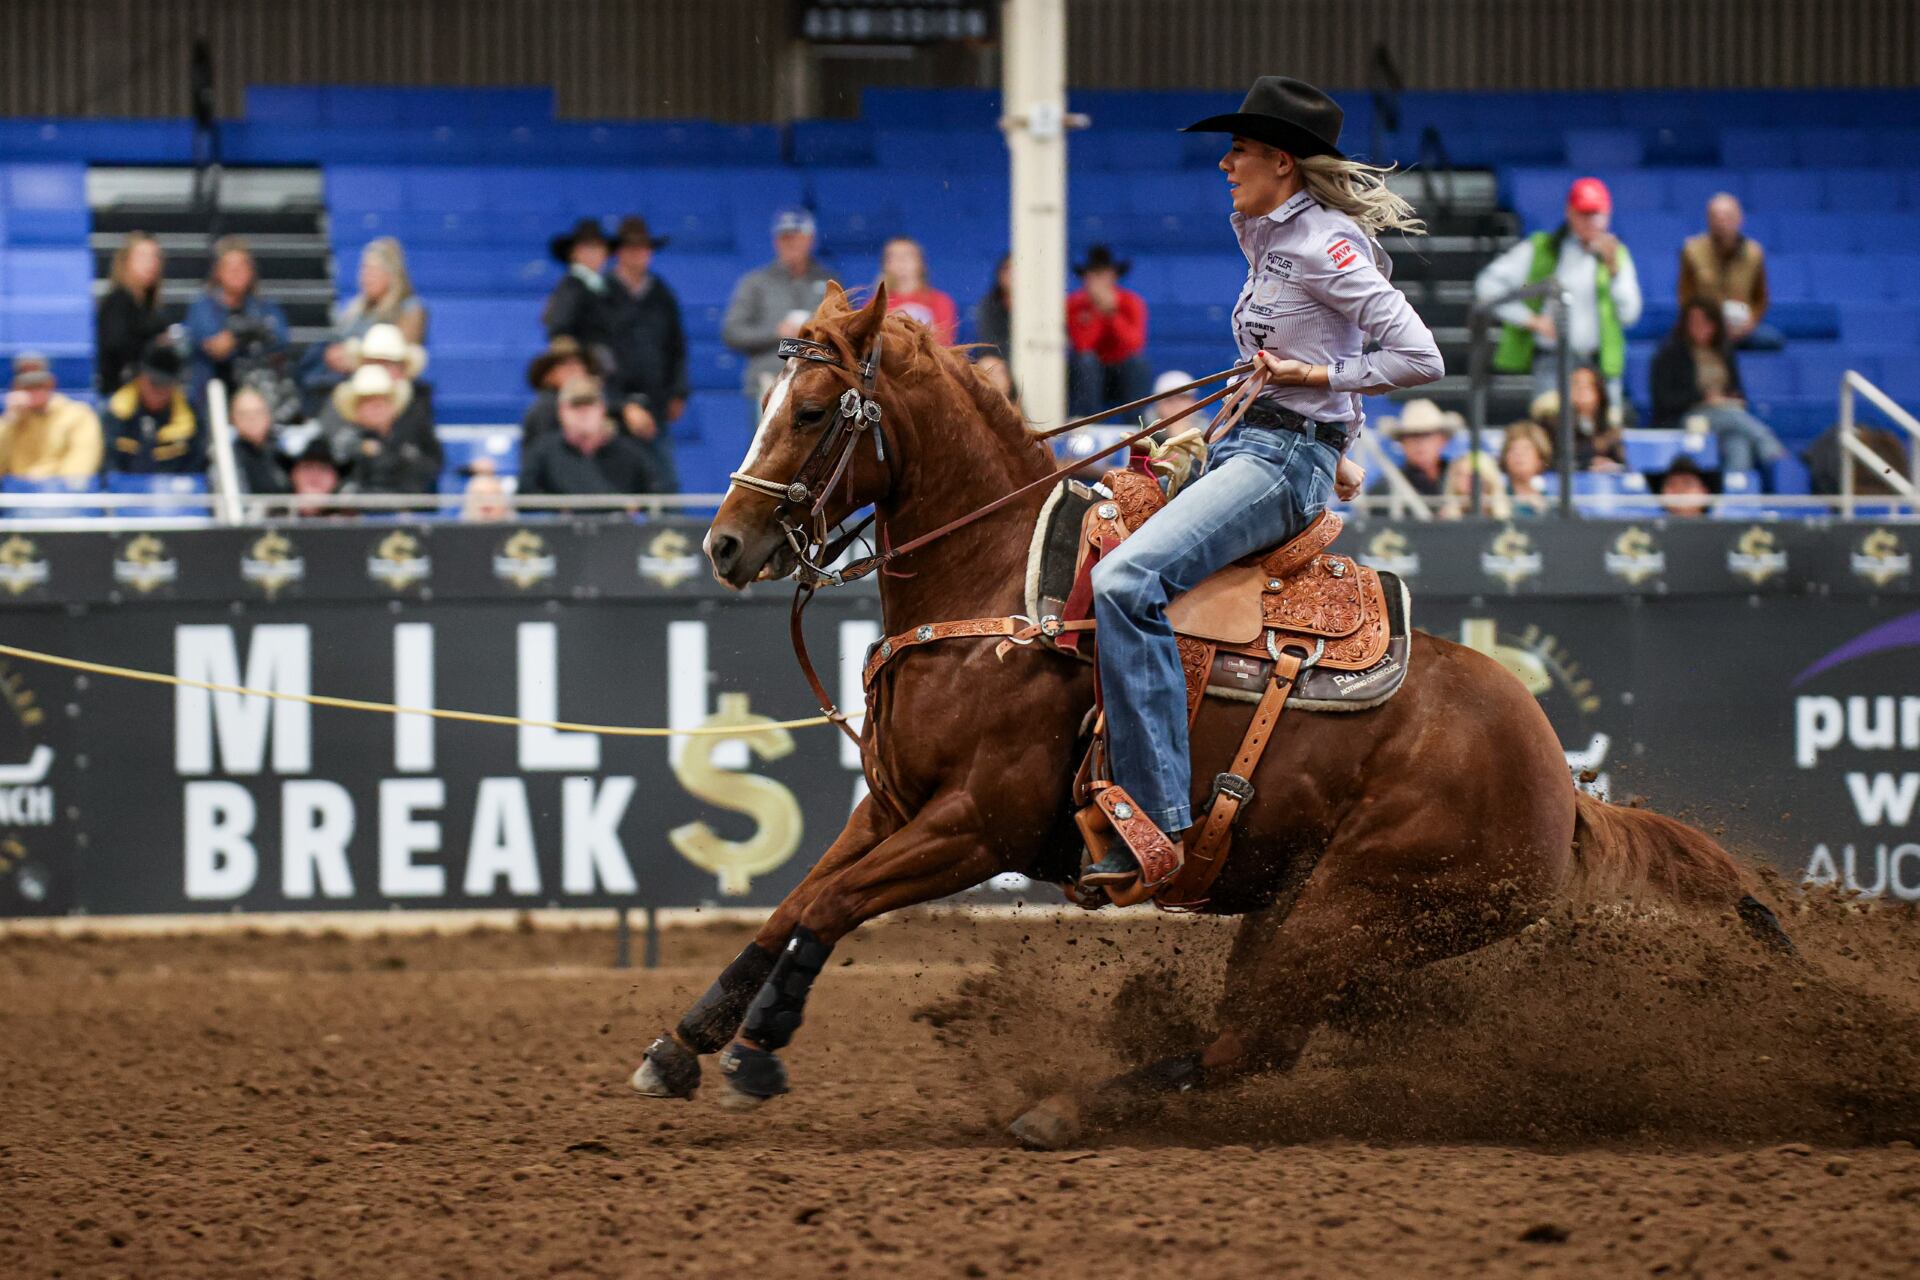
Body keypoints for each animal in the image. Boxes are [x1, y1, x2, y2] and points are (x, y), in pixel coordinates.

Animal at [631, 283, 1789, 1148]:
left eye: (812, 410)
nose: (725, 544)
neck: (1004, 583)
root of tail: (1564, 783)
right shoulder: (896, 804)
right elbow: (796, 899)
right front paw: (690, 1036)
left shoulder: (978, 825)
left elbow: (833, 903)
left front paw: (757, 1043)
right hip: (1316, 911)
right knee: (1267, 1037)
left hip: (1350, 906)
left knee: (1251, 1045)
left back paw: (1065, 1109)